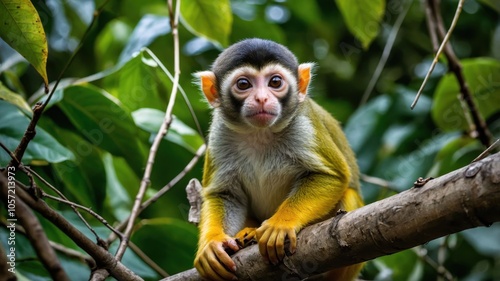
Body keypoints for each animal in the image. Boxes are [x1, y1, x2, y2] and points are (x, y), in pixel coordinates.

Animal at [193, 38, 362, 278]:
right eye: (243, 84)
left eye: (275, 82)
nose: (262, 98)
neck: (260, 133)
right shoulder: (219, 133)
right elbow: (225, 194)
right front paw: (212, 243)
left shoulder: (303, 124)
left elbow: (333, 176)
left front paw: (281, 223)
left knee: (348, 194)